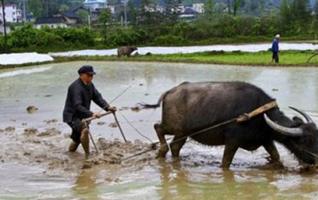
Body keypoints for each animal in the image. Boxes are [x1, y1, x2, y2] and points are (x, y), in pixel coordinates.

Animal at [143, 81, 318, 169]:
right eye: (305, 141)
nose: (315, 160)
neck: (258, 114)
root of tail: (169, 92)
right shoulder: (233, 141)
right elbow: (226, 162)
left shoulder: (266, 139)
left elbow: (276, 156)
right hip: (174, 127)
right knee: (158, 128)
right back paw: (161, 151)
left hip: (183, 133)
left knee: (175, 146)